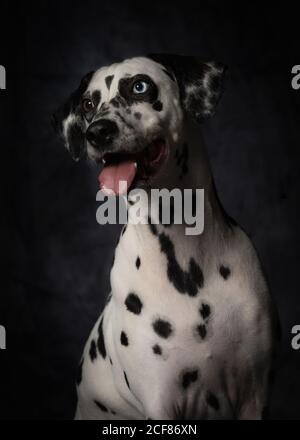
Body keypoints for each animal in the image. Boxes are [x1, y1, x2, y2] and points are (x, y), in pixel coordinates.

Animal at [53, 55, 278, 420]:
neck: (186, 260)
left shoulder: (253, 397)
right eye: (88, 104)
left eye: (139, 86)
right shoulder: (161, 400)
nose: (97, 131)